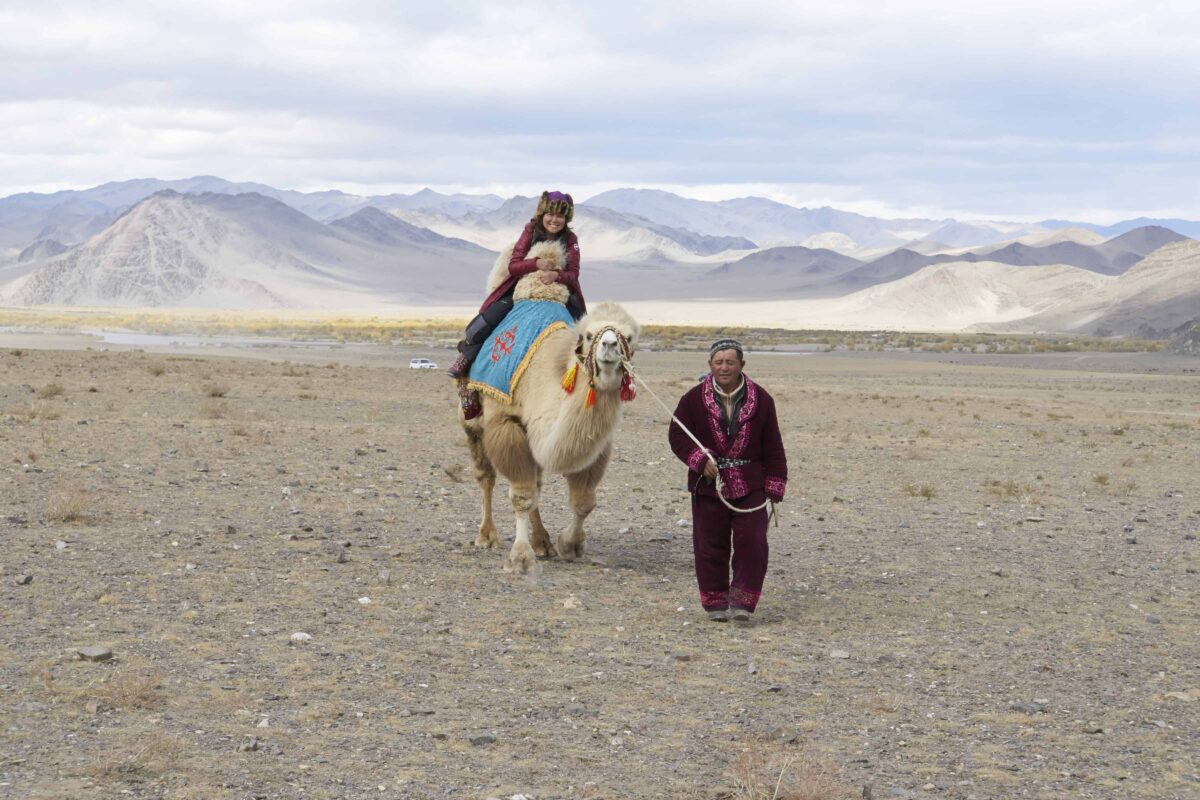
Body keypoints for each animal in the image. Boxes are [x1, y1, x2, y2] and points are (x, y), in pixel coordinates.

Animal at [460, 245, 640, 572]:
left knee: (537, 483)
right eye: (587, 335)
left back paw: (542, 542)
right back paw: (486, 536)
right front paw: (520, 557)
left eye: (629, 337)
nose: (609, 347)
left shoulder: (595, 444)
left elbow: (583, 500)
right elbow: (520, 494)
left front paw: (569, 544)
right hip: (472, 422)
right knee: (486, 475)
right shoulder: (506, 423)